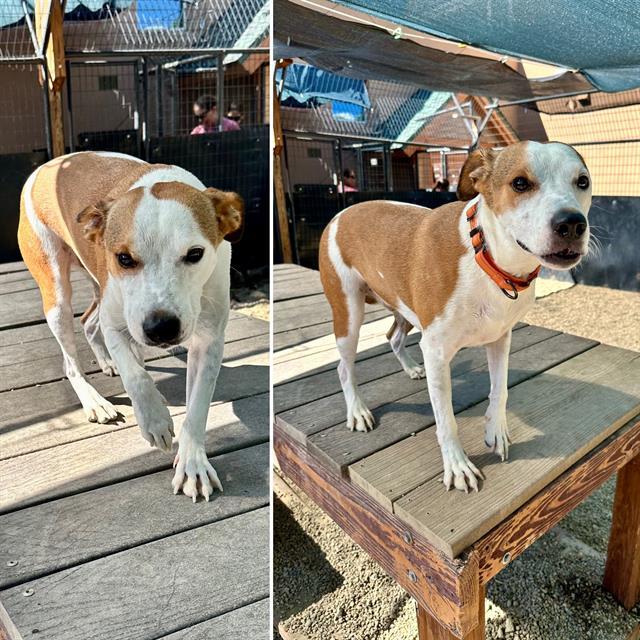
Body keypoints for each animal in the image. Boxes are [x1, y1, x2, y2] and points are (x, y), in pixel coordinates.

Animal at [18, 150, 242, 500]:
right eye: (124, 258)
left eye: (195, 254)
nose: (161, 327)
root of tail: (47, 166)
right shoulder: (117, 326)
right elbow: (135, 377)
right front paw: (154, 421)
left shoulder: (209, 343)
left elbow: (197, 408)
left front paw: (192, 464)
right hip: (56, 294)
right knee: (71, 360)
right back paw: (95, 401)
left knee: (88, 321)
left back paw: (108, 363)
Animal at [318, 139, 592, 490]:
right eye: (520, 183)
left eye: (582, 181)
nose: (571, 223)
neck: (488, 259)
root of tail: (342, 212)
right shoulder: (437, 352)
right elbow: (446, 419)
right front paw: (457, 465)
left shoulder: (500, 339)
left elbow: (499, 390)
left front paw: (496, 432)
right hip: (349, 314)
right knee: (344, 368)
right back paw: (357, 411)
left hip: (404, 307)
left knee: (393, 337)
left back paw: (411, 369)